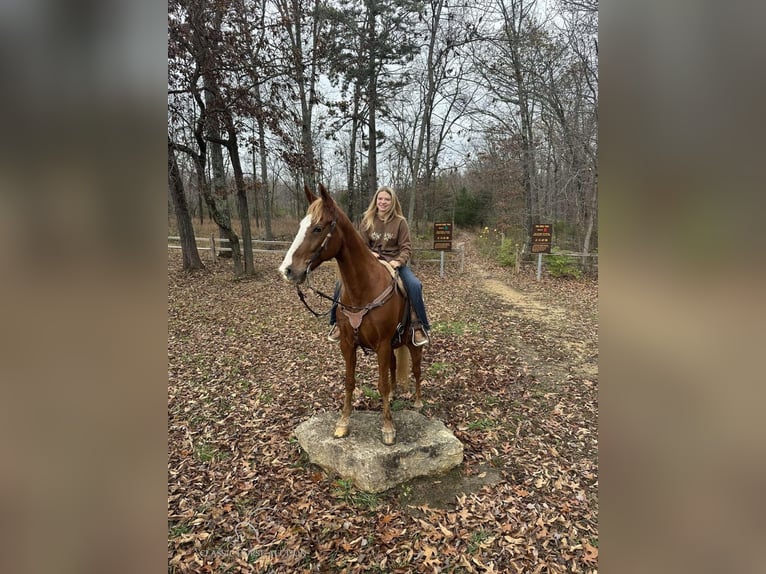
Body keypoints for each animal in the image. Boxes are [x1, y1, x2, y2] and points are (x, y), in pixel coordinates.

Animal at [280, 184, 426, 446]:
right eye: (301, 225)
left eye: (318, 228)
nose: (287, 270)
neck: (363, 289)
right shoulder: (348, 344)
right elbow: (350, 381)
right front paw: (343, 423)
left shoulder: (381, 344)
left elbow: (381, 384)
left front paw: (388, 428)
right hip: (393, 344)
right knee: (393, 367)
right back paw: (396, 394)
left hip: (411, 343)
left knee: (417, 369)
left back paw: (418, 402)